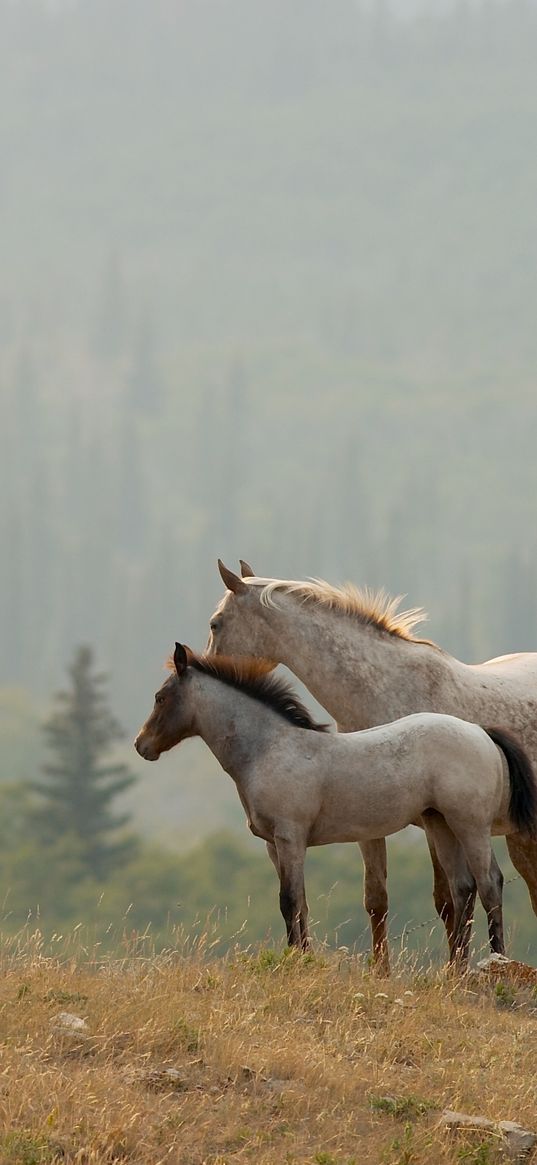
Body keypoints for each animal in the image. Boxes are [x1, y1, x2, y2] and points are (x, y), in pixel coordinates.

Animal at [132, 643, 535, 959]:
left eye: (160, 698)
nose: (141, 746)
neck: (269, 748)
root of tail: (480, 731)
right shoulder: (274, 846)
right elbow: (299, 904)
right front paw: (302, 956)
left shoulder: (290, 838)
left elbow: (289, 900)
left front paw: (297, 961)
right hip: (440, 824)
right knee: (463, 888)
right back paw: (455, 973)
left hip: (471, 826)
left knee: (490, 883)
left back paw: (496, 962)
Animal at [206, 559, 537, 969]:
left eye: (215, 624)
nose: (200, 667)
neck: (385, 687)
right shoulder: (369, 824)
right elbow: (377, 898)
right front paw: (381, 972)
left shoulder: (433, 822)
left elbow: (448, 899)